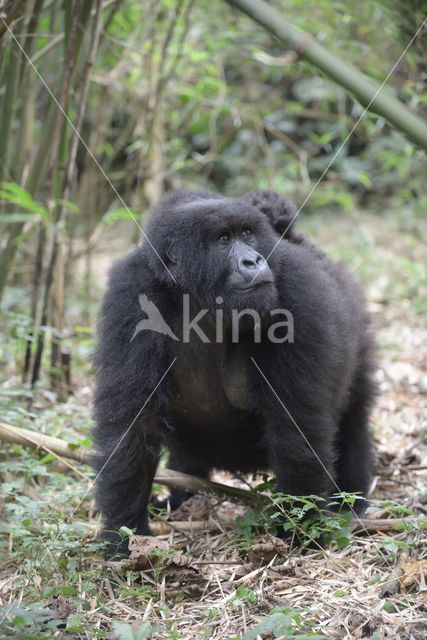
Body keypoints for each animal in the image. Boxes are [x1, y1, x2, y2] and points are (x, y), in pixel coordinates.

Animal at [93, 189, 374, 556]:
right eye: (223, 239)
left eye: (247, 234)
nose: (253, 260)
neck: (197, 300)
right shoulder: (131, 292)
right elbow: (134, 423)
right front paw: (124, 533)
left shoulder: (297, 289)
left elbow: (296, 424)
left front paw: (301, 531)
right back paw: (181, 496)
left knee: (354, 416)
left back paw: (351, 501)